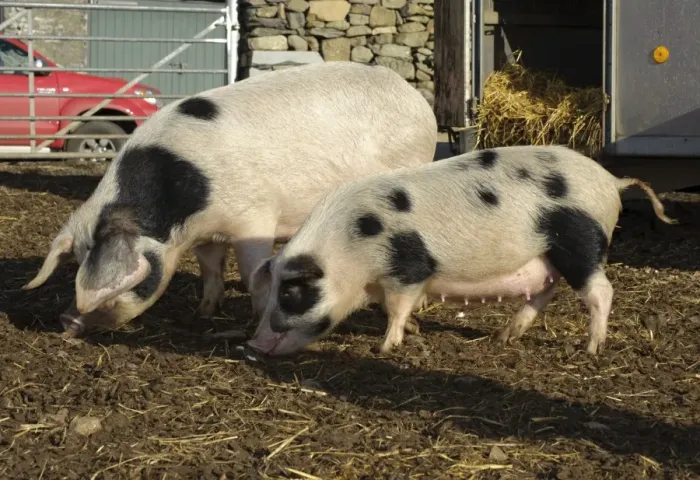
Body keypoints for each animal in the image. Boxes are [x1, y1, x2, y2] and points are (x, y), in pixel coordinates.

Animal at [22, 61, 438, 336]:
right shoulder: (206, 236)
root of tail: (413, 96)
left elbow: (254, 275)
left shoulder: (255, 220)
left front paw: (254, 320)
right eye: (77, 261)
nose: (65, 320)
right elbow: (210, 271)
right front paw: (202, 314)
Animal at [247, 145, 677, 357]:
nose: (251, 344)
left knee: (601, 291)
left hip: (579, 243)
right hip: (545, 255)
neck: (350, 248)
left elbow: (397, 307)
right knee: (544, 292)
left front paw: (384, 347)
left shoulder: (408, 267)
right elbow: (390, 306)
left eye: (291, 292)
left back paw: (590, 349)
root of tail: (612, 181)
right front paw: (414, 330)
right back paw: (505, 338)